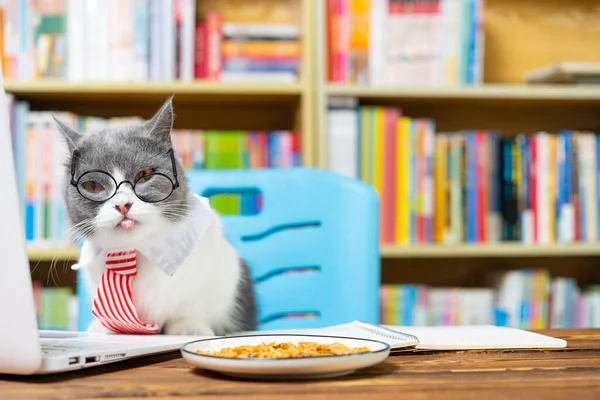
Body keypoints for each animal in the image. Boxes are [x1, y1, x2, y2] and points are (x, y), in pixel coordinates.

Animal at [53, 98, 255, 336]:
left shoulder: (223, 270)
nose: (122, 205)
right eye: (93, 186)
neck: (134, 250)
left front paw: (188, 326)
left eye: (145, 174)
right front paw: (102, 328)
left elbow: (192, 304)